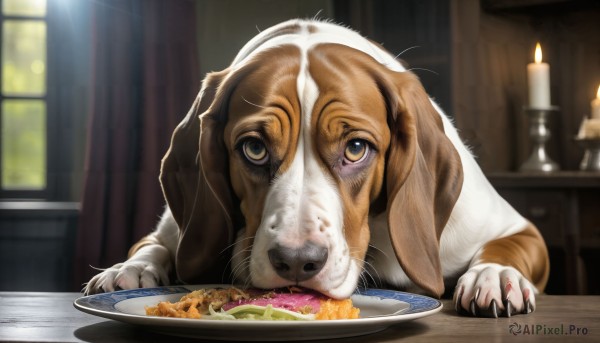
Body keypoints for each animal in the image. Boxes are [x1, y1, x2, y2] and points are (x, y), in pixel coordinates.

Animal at [84, 19, 548, 320]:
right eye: (254, 148)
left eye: (356, 149)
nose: (295, 262)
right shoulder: (171, 231)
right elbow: (152, 245)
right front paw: (129, 270)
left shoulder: (517, 228)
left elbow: (508, 246)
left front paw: (496, 275)